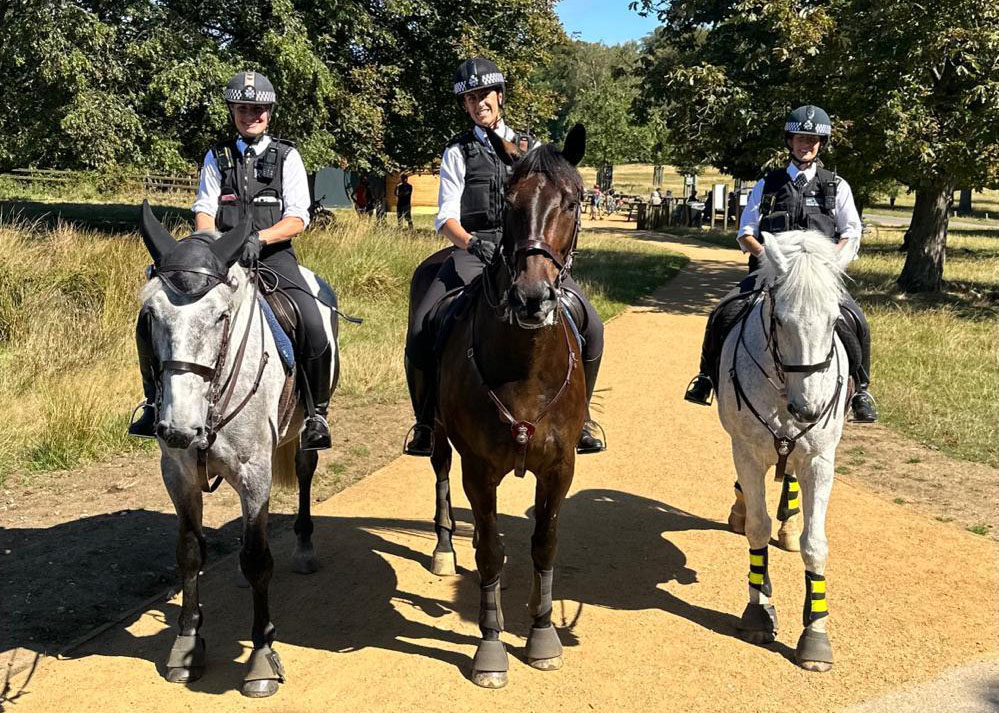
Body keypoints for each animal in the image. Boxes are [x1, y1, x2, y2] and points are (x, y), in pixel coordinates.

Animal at [137, 203, 340, 700]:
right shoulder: (178, 474)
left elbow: (257, 559)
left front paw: (261, 658)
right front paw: (186, 647)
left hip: (301, 434)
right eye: (151, 315)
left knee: (304, 471)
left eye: (220, 316)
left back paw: (304, 547)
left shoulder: (254, 473)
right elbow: (190, 552)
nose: (179, 428)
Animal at [416, 125, 592, 688]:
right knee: (440, 474)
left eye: (573, 201)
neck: (525, 364)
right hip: (439, 437)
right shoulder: (479, 470)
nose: (532, 297)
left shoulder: (559, 468)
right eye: (508, 201)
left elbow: (544, 544)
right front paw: (490, 647)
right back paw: (445, 549)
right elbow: (491, 553)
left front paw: (542, 635)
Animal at [720, 229, 852, 672]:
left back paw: (789, 527)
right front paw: (759, 610)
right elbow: (757, 527)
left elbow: (816, 544)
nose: (808, 408)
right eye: (779, 320)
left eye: (835, 320)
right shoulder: (745, 450)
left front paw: (815, 636)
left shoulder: (820, 460)